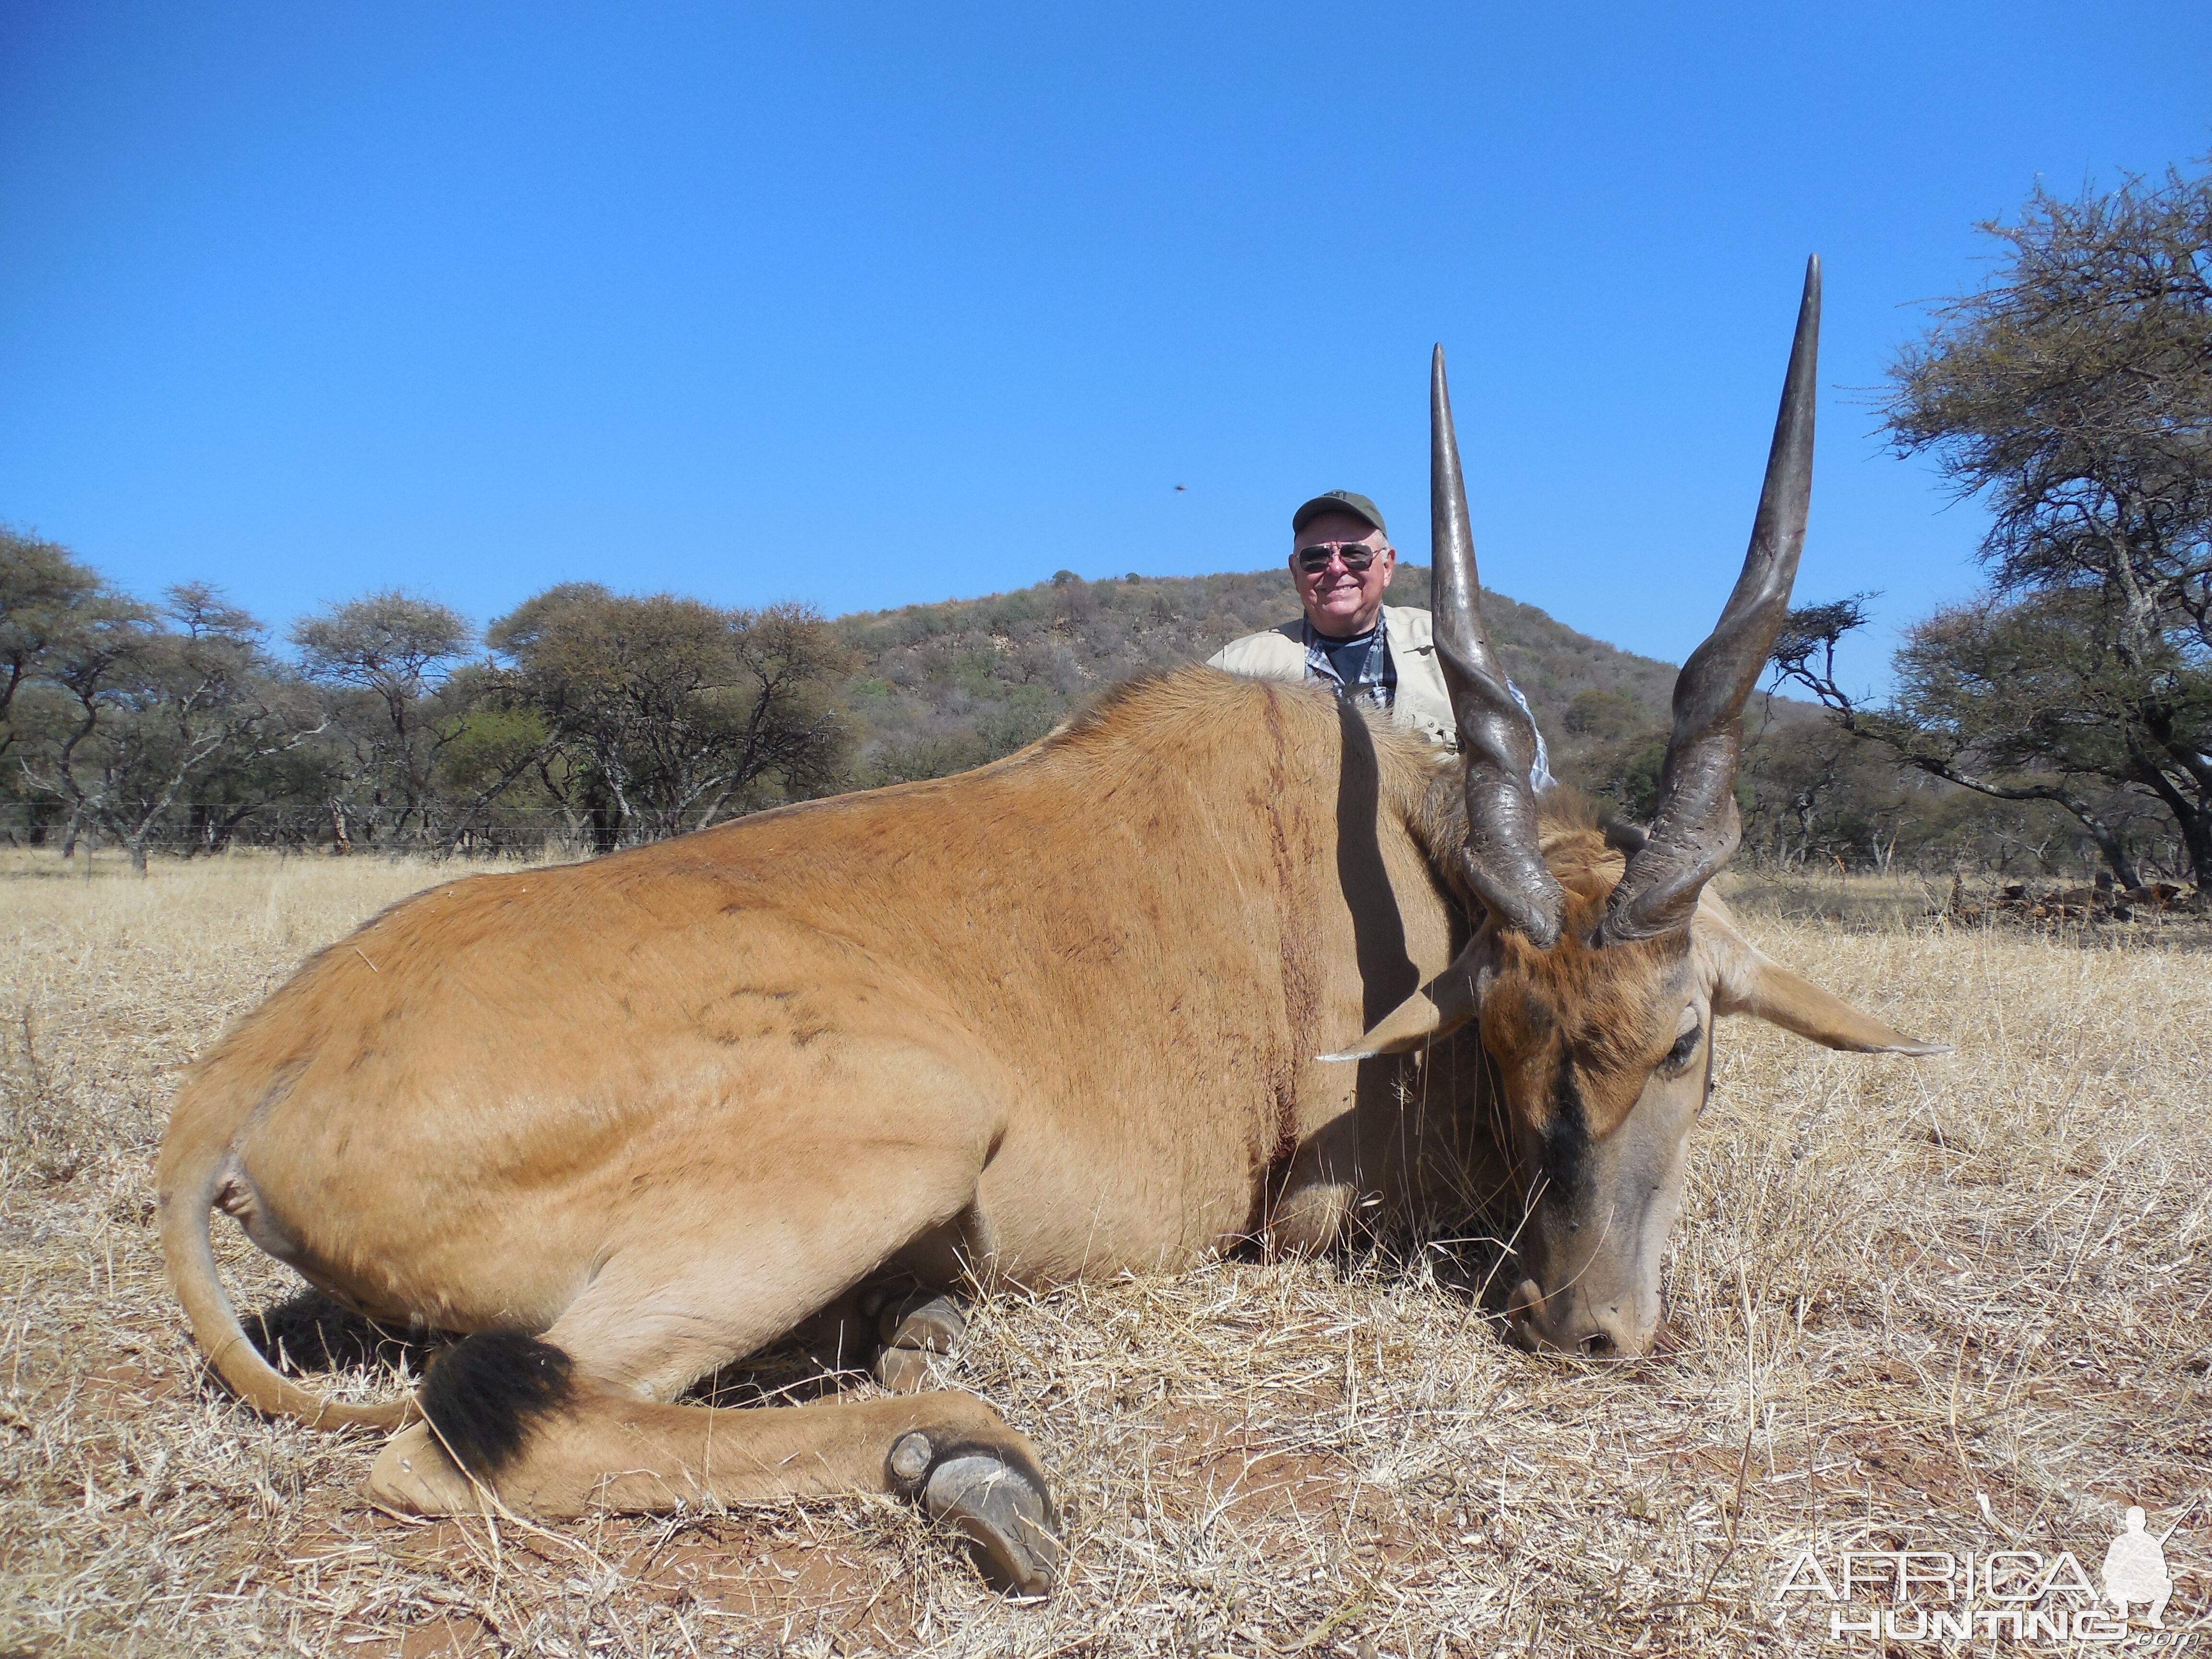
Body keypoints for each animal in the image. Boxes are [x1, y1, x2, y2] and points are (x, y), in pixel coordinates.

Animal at [168, 260, 1937, 1601]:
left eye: (1682, 1036)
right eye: (1511, 1036)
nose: (1591, 1327)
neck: (1377, 847)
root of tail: (252, 1069)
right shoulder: (1320, 1219)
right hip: (909, 1123)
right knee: (467, 1435)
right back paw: (963, 1457)